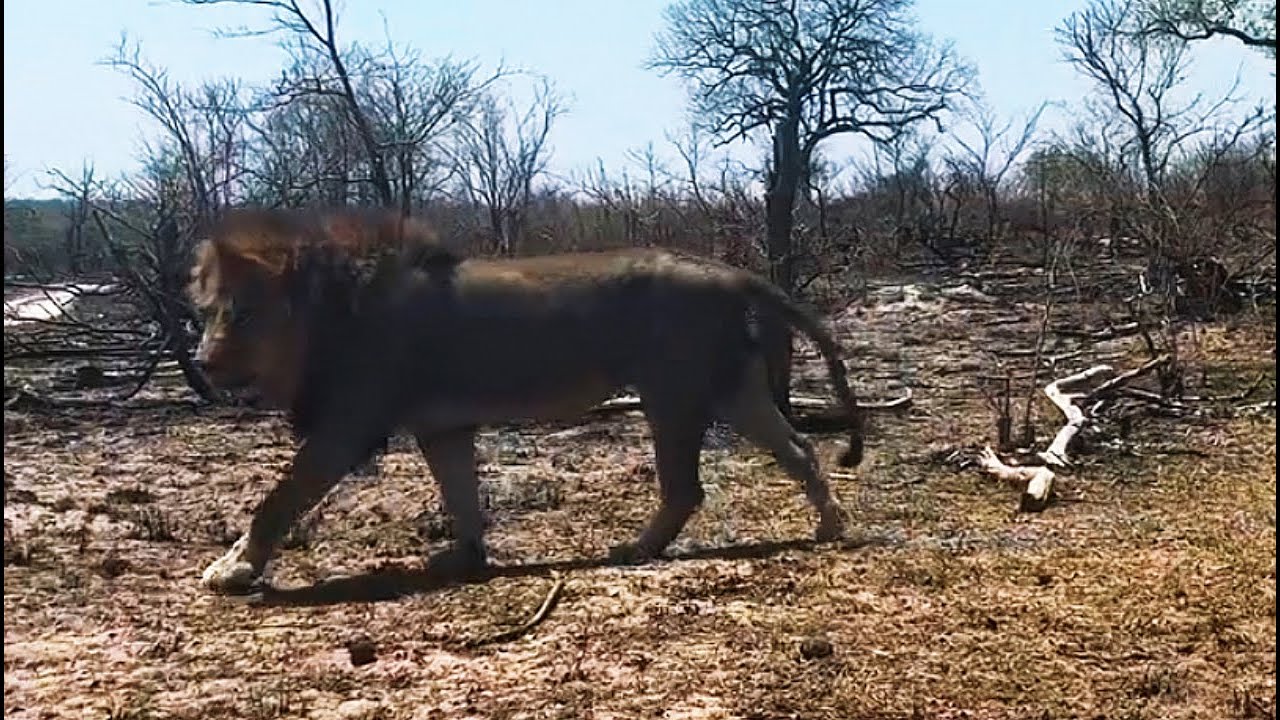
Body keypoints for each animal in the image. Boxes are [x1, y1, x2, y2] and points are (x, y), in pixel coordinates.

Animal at [190, 207, 866, 594]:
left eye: (241, 315)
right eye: (208, 313)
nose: (202, 361)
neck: (328, 314)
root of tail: (729, 271)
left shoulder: (347, 424)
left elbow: (277, 500)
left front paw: (233, 569)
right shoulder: (442, 427)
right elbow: (460, 494)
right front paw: (465, 557)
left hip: (671, 393)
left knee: (686, 488)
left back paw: (636, 550)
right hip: (732, 386)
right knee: (800, 450)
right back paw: (829, 526)